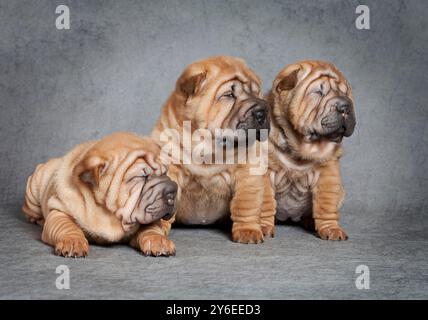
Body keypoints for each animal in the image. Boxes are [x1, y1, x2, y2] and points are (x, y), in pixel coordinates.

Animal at [23, 132, 177, 258]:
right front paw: (73, 242)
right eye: (142, 177)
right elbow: (66, 226)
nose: (173, 190)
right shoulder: (59, 210)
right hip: (34, 187)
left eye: (164, 173)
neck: (108, 215)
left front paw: (158, 240)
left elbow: (151, 227)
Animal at [152, 56, 276, 244]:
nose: (263, 111)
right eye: (229, 95)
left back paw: (265, 227)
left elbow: (246, 204)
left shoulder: (247, 173)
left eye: (257, 93)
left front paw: (248, 231)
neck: (208, 150)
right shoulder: (171, 167)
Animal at [266, 60, 356, 240]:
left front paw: (331, 229)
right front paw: (262, 227)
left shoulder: (327, 175)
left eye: (345, 93)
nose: (345, 106)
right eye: (318, 92)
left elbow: (326, 205)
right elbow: (264, 203)